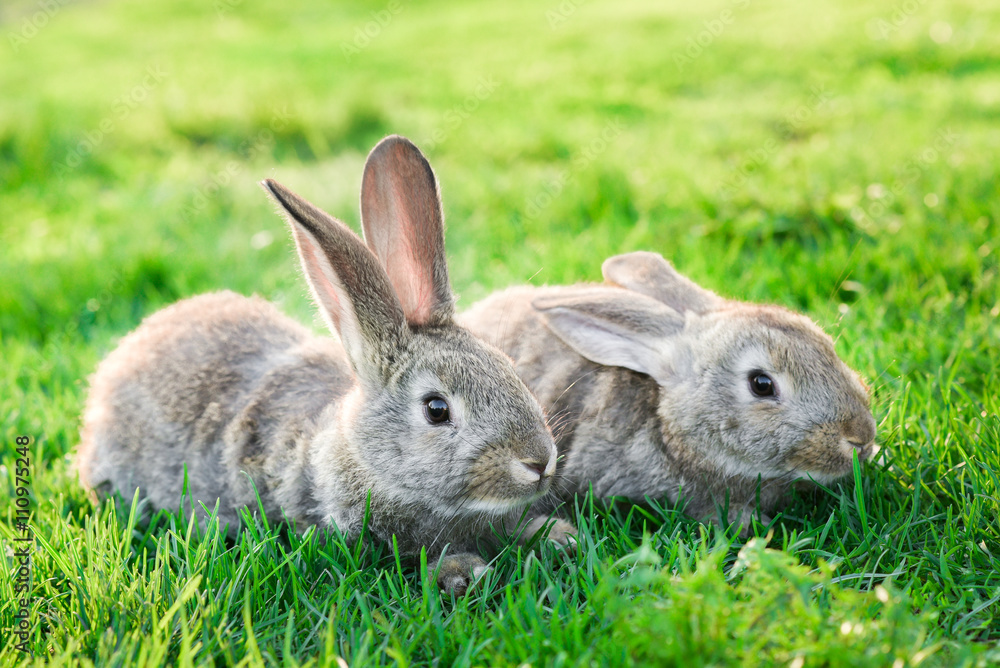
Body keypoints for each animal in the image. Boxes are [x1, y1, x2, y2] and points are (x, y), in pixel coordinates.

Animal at [77, 135, 574, 595]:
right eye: (436, 409)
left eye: (510, 368)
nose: (539, 461)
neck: (368, 461)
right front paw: (464, 574)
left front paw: (556, 536)